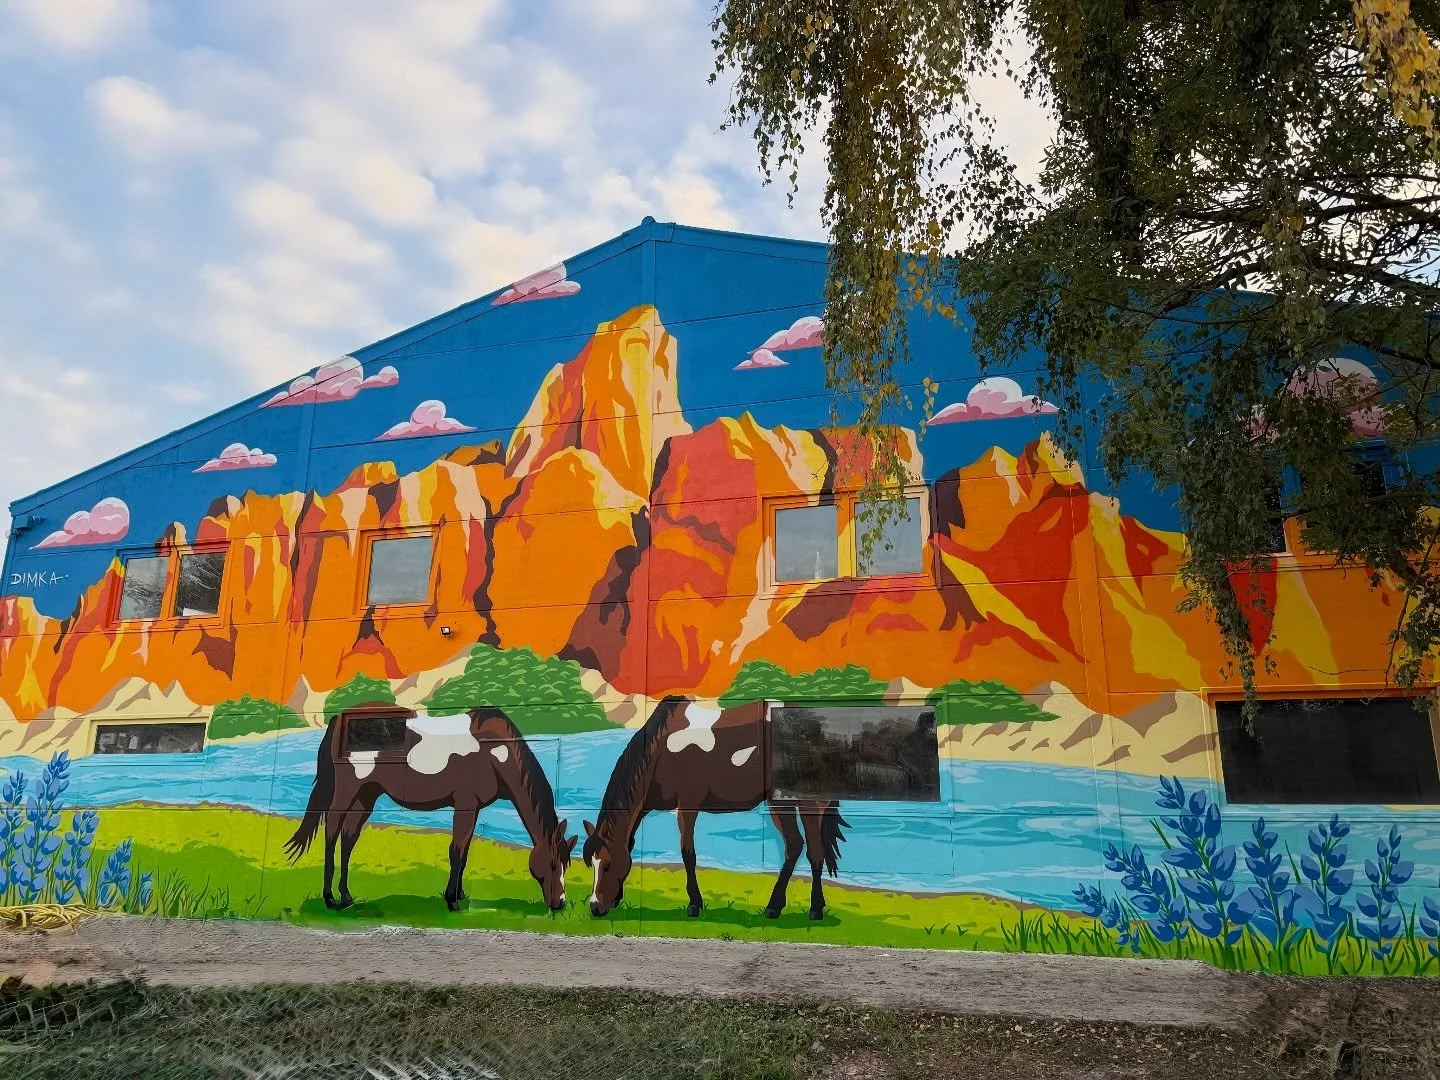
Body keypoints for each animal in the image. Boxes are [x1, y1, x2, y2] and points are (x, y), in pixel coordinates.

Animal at [284, 701, 577, 912]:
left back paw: (346, 897)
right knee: (332, 829)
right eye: (553, 864)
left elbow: (465, 851)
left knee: (349, 837)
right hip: (348, 791)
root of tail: (340, 718)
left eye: (566, 864)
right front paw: (452, 900)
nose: (560, 903)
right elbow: (456, 850)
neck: (494, 751)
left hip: (367, 795)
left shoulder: (473, 808)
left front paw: (459, 894)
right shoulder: (465, 803)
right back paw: (330, 898)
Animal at [582, 696, 848, 921]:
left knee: (808, 850)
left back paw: (804, 909)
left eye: (607, 864)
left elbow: (688, 853)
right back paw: (785, 907)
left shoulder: (687, 806)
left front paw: (694, 905)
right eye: (591, 864)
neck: (659, 751)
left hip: (799, 802)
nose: (595, 907)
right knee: (800, 848)